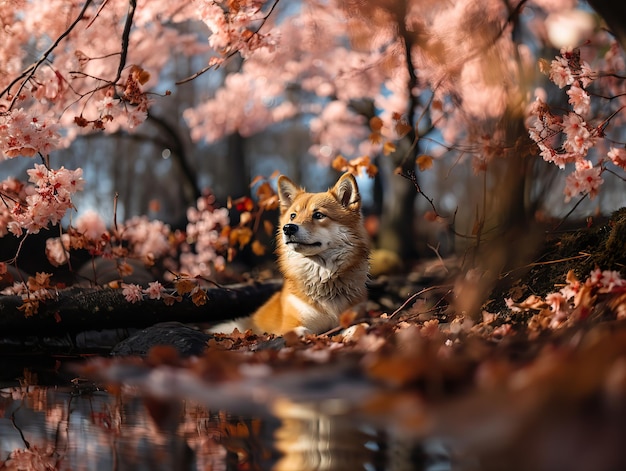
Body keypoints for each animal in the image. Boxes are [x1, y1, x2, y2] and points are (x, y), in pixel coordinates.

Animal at [207, 173, 368, 336]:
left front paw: (353, 331)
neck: (323, 280)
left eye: (318, 215)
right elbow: (304, 331)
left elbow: (357, 326)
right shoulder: (291, 324)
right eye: (293, 216)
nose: (288, 228)